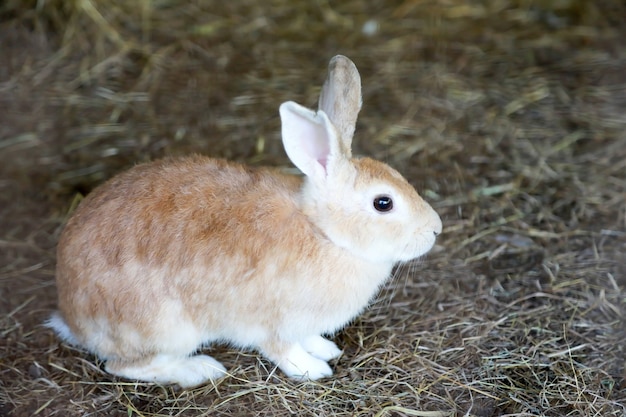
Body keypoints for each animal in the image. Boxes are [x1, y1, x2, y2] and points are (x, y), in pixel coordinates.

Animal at [46, 55, 442, 386]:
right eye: (383, 203)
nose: (435, 229)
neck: (324, 234)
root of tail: (72, 315)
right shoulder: (273, 323)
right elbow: (284, 350)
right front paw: (315, 369)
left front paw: (325, 348)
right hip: (166, 328)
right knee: (124, 366)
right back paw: (200, 369)